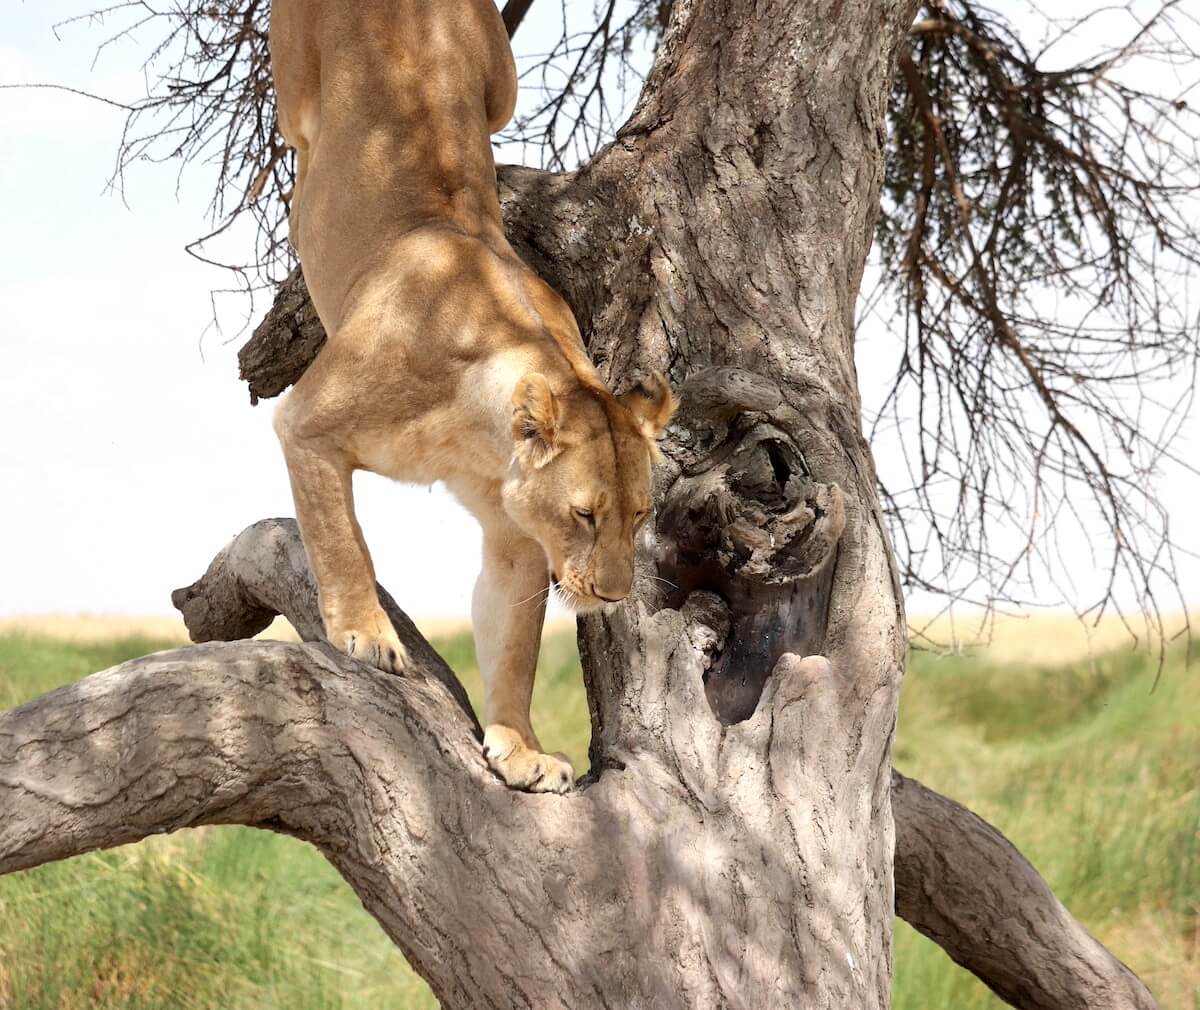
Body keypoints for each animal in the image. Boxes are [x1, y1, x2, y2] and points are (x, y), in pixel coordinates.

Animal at [268, 0, 674, 792]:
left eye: (641, 514)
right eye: (586, 515)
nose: (612, 597)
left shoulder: (515, 536)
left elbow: (513, 644)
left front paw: (519, 749)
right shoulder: (307, 421)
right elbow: (343, 538)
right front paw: (366, 634)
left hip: (501, 85)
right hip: (295, 87)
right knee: (297, 137)